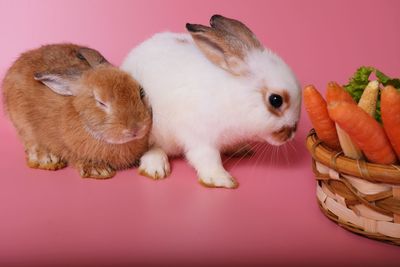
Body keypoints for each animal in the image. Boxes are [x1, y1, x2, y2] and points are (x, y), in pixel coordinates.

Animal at [1, 44, 152, 180]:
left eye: (141, 92)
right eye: (101, 102)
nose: (137, 129)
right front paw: (98, 171)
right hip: (21, 122)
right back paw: (46, 158)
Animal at [122, 14, 300, 188]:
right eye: (275, 100)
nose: (292, 133)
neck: (235, 96)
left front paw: (241, 149)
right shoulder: (200, 137)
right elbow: (207, 158)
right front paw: (222, 180)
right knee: (151, 148)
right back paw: (155, 167)